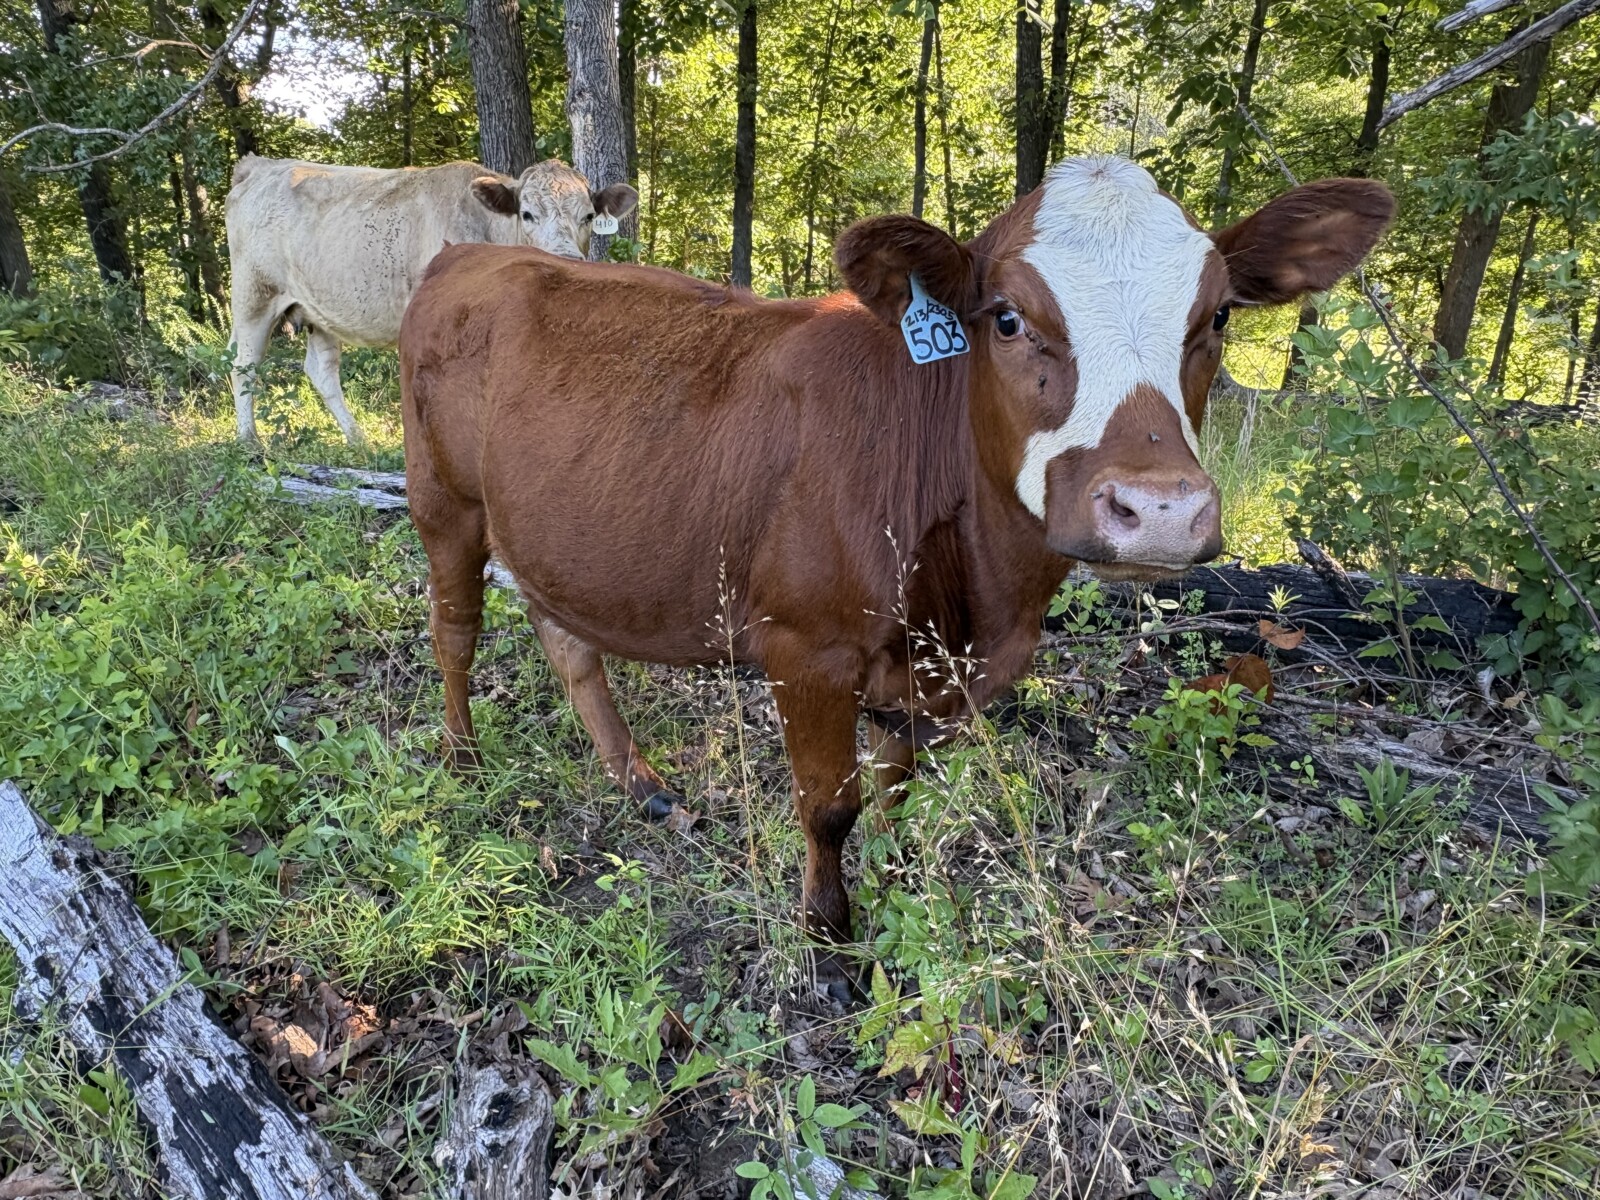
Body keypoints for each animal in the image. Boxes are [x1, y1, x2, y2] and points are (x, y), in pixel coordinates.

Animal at [224, 155, 638, 446]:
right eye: (527, 214)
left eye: (589, 215)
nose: (566, 259)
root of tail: (260, 166)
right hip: (253, 294)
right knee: (243, 365)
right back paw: (250, 442)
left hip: (318, 311)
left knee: (320, 370)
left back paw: (359, 443)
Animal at [399, 156, 1393, 991]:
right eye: (1007, 317)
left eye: (1217, 316)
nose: (1157, 510)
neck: (983, 603)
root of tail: (470, 255)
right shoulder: (807, 648)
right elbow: (828, 807)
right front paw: (828, 940)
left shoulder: (927, 672)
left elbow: (898, 788)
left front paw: (898, 875)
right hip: (443, 499)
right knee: (455, 630)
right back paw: (460, 755)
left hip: (542, 528)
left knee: (565, 637)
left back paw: (638, 780)